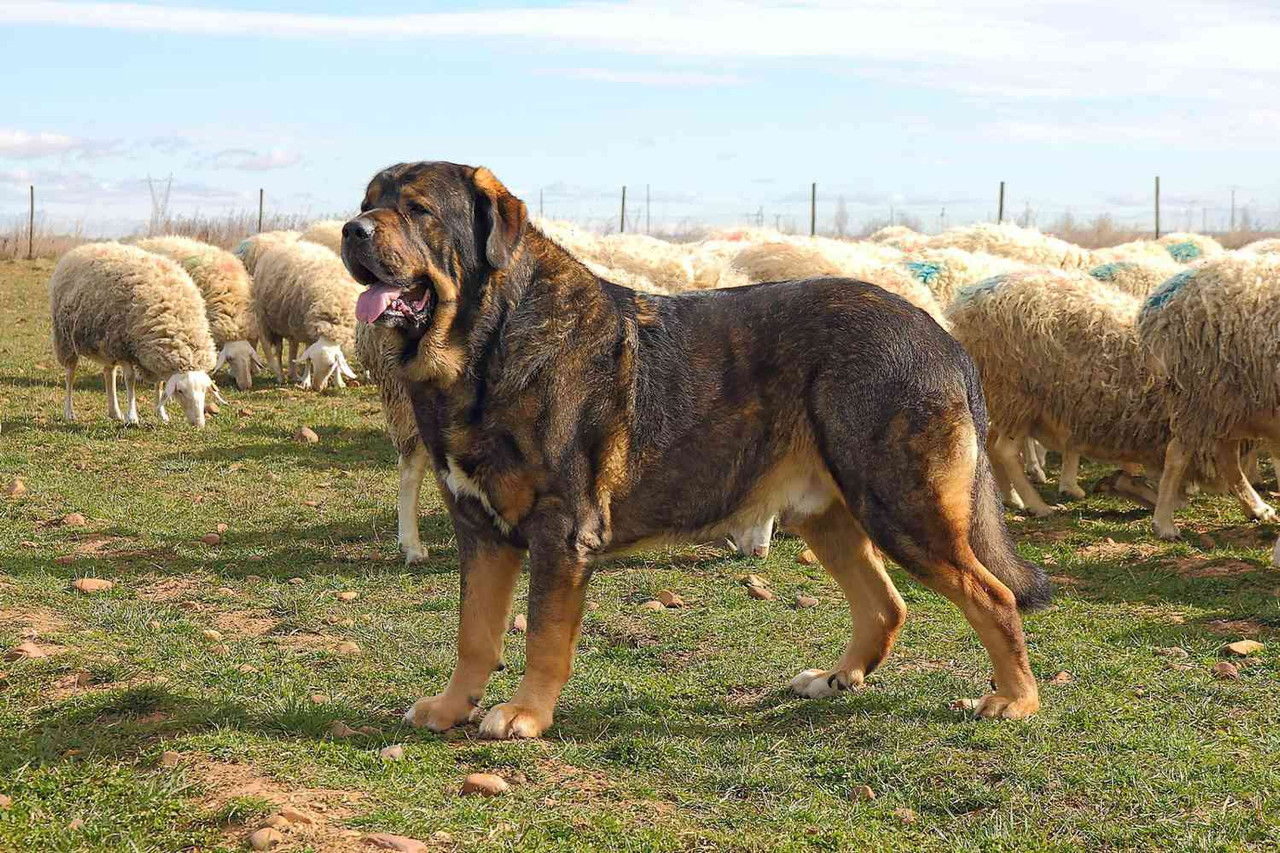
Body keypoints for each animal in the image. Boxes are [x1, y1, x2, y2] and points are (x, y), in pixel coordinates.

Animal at [50, 242, 222, 427]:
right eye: (181, 391)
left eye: (204, 390)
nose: (199, 424)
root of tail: (80, 249)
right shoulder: (123, 348)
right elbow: (130, 380)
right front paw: (132, 417)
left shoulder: (150, 351)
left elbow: (160, 383)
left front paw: (161, 413)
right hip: (67, 340)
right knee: (70, 376)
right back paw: (69, 412)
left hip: (106, 340)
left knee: (108, 372)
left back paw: (114, 412)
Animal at [251, 239, 362, 391]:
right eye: (314, 361)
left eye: (331, 365)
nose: (317, 387)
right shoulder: (307, 331)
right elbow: (306, 357)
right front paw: (306, 381)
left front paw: (339, 382)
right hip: (266, 321)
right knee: (276, 351)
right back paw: (280, 375)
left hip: (291, 324)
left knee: (292, 349)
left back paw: (293, 374)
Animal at [946, 268, 1201, 518]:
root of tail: (965, 303)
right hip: (1017, 392)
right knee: (1005, 450)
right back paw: (1037, 505)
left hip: (1003, 398)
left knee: (990, 444)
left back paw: (1012, 498)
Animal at [1137, 254, 1280, 539]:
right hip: (1203, 395)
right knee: (1178, 454)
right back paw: (1164, 524)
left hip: (1230, 401)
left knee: (1226, 455)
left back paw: (1256, 508)